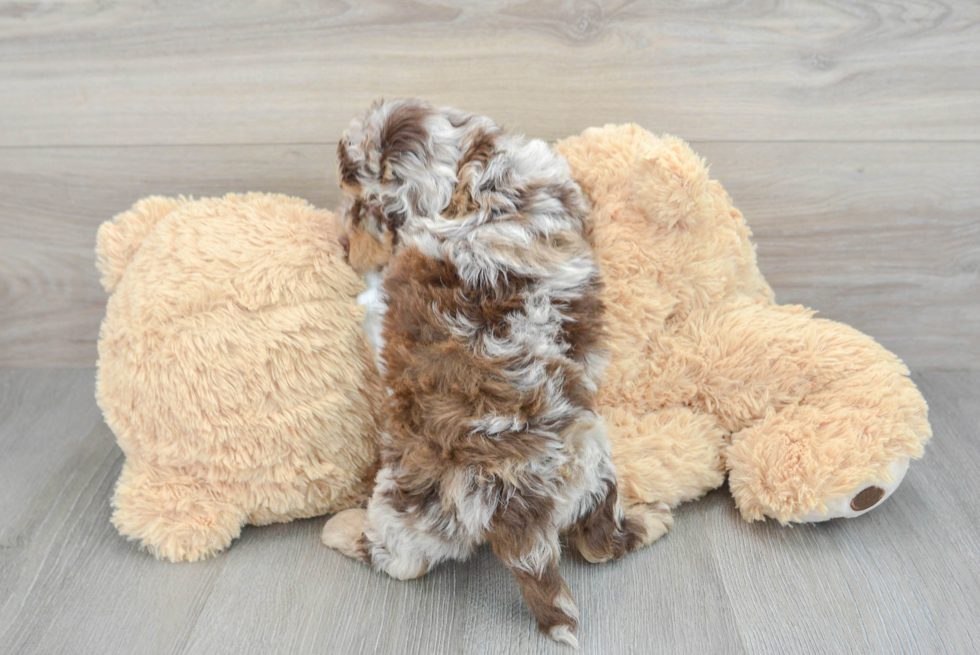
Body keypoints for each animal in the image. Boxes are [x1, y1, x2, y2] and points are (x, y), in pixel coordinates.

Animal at [326, 100, 668, 648]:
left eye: (359, 206)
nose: (344, 247)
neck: (476, 168)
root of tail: (515, 503)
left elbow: (376, 303)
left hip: (408, 508)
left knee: (401, 562)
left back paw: (339, 529)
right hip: (593, 464)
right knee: (600, 543)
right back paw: (653, 519)